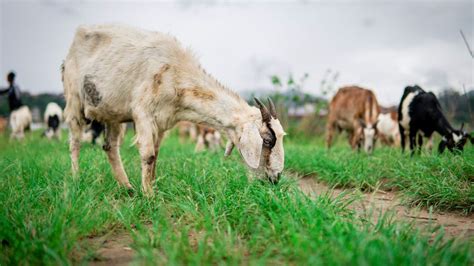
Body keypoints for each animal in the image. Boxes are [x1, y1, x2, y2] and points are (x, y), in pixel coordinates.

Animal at [62, 24, 286, 195]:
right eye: (267, 140)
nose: (276, 178)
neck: (176, 74)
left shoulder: (162, 122)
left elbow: (156, 154)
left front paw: (152, 186)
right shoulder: (143, 113)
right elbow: (148, 155)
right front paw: (149, 196)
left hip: (113, 114)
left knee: (110, 147)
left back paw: (127, 187)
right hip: (74, 99)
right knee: (74, 142)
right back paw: (75, 177)